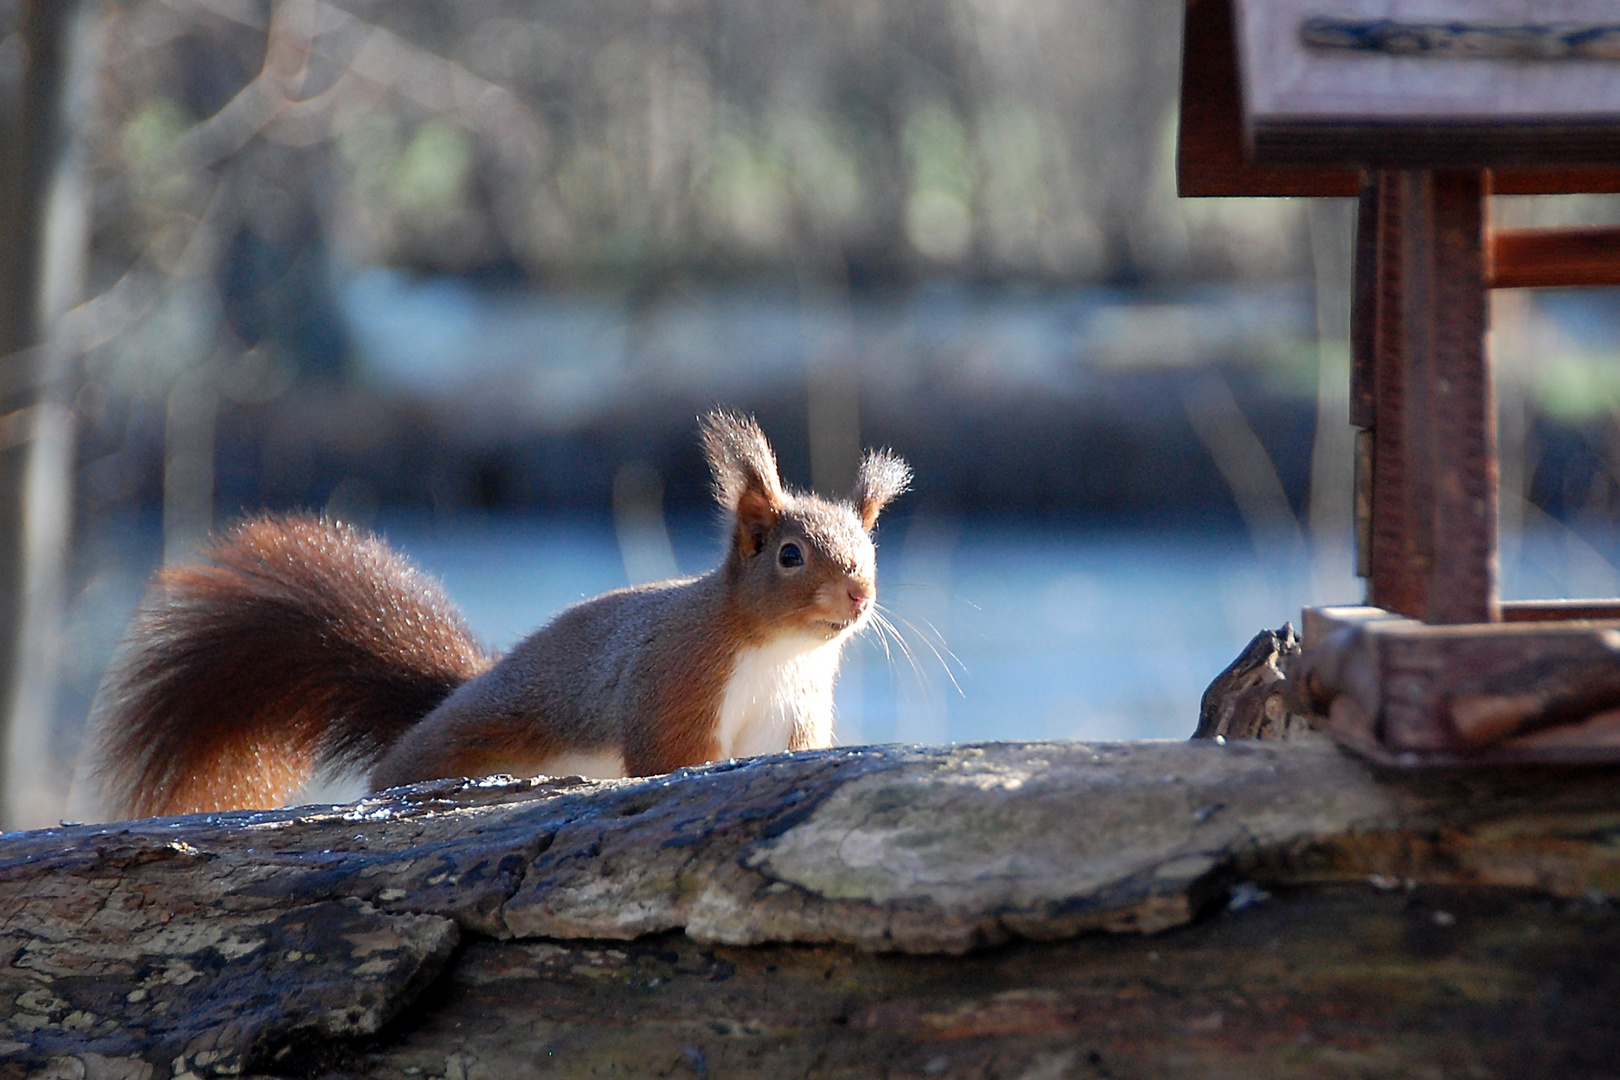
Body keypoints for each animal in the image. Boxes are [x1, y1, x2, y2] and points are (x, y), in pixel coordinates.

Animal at [91, 414, 913, 819]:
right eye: (790, 556)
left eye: (869, 547)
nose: (859, 597)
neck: (778, 652)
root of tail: (447, 705)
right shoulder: (674, 680)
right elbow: (669, 757)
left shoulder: (793, 717)